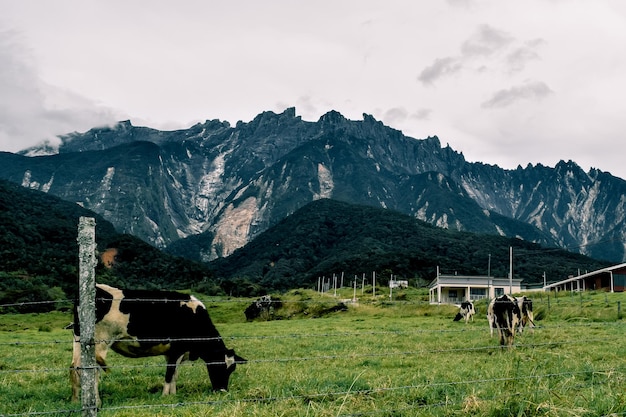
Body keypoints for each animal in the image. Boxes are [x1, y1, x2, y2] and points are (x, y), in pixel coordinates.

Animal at [69, 282, 244, 404]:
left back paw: (76, 400)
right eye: (219, 366)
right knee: (92, 370)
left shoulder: (173, 353)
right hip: (99, 342)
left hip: (78, 340)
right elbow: (169, 373)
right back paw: (96, 402)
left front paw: (173, 394)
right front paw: (166, 396)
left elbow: (174, 374)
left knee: (74, 367)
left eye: (232, 369)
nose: (222, 391)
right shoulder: (176, 349)